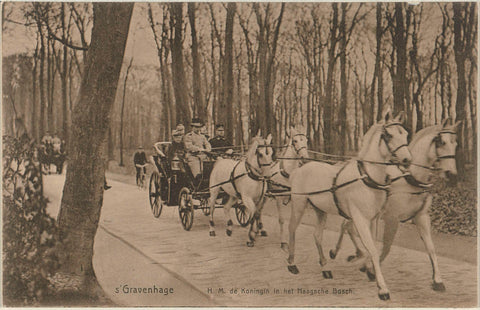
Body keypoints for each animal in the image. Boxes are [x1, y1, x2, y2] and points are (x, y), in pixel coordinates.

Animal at [286, 111, 410, 300]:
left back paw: (325, 267)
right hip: (299, 204)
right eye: (388, 135)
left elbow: (372, 247)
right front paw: (382, 288)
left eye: (405, 134)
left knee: (317, 235)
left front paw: (368, 269)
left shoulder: (373, 219)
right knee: (292, 228)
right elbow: (371, 249)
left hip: (320, 210)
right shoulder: (360, 219)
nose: (407, 160)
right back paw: (292, 263)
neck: (366, 177)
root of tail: (300, 168)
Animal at [328, 118, 460, 290]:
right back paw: (340, 252)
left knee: (346, 226)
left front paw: (437, 280)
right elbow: (386, 247)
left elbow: (431, 247)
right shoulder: (392, 218)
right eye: (441, 142)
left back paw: (353, 253)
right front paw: (371, 270)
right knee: (347, 226)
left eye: (455, 143)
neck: (410, 178)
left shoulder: (422, 217)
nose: (452, 175)